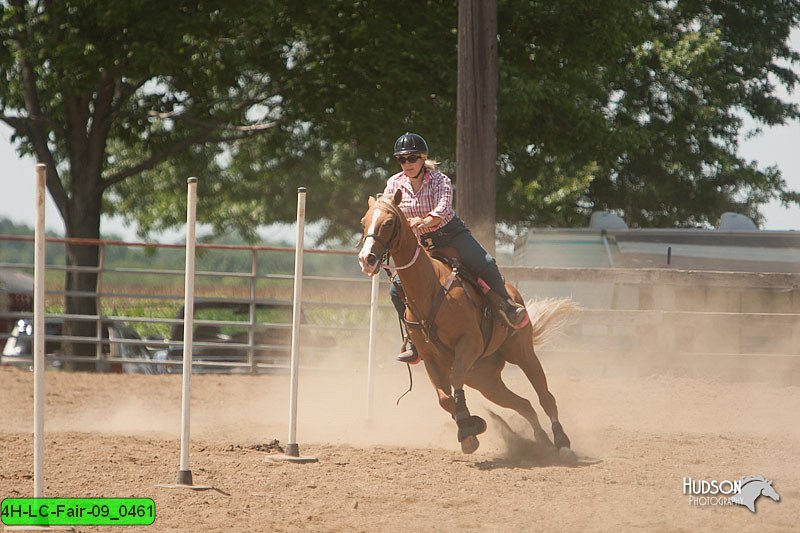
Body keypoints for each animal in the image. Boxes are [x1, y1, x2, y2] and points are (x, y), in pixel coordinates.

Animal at [360, 188, 580, 458]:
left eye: (389, 222)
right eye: (364, 221)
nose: (367, 259)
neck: (430, 288)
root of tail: (514, 293)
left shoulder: (469, 344)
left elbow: (455, 380)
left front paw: (469, 428)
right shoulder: (430, 359)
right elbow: (445, 399)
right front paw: (470, 430)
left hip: (523, 353)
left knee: (545, 397)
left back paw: (562, 443)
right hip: (485, 380)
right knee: (524, 404)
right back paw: (541, 443)